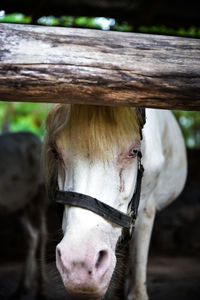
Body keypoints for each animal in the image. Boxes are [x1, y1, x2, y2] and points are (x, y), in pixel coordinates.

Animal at [0, 132, 47, 298]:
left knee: (42, 234)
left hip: (40, 191)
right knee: (32, 235)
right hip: (21, 202)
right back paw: (23, 287)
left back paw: (40, 289)